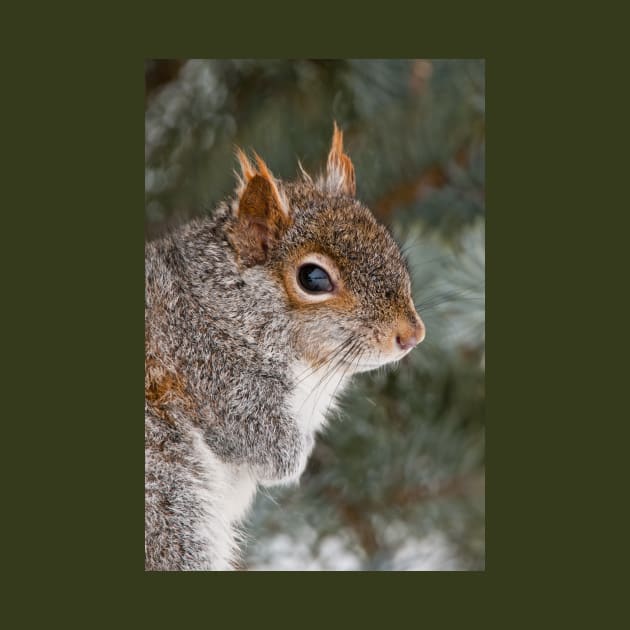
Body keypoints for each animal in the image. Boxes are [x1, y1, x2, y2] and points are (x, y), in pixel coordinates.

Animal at [146, 123, 428, 572]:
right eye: (313, 278)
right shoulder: (216, 377)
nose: (412, 335)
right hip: (170, 509)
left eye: (389, 247)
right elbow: (264, 446)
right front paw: (297, 456)